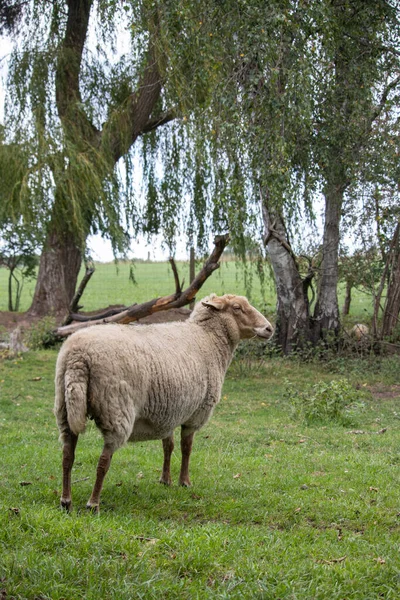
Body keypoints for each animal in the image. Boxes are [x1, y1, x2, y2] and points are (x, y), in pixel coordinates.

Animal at [54, 292, 274, 510]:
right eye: (237, 307)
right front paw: (184, 482)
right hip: (115, 409)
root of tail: (78, 357)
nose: (269, 328)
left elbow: (168, 446)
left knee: (67, 455)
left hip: (65, 405)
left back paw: (66, 501)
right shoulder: (196, 413)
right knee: (103, 461)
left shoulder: (168, 412)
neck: (208, 338)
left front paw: (165, 480)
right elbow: (186, 447)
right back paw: (93, 503)